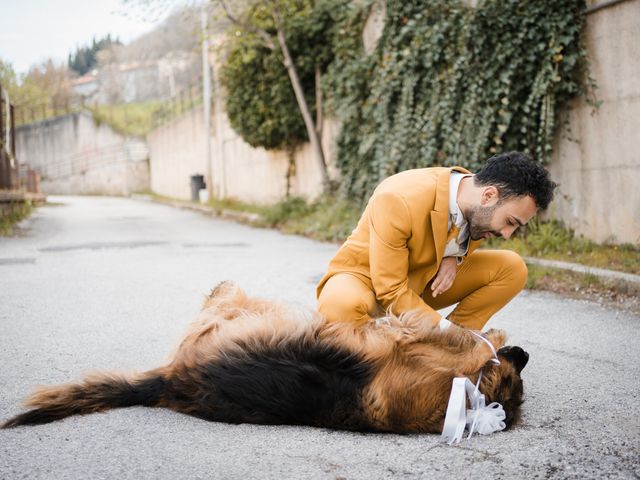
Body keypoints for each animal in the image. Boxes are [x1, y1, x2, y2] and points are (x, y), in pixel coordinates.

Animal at [2, 280, 528, 434]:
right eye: (517, 372)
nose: (523, 352)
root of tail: (171, 381)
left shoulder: (416, 342)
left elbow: (458, 337)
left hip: (236, 314)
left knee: (221, 294)